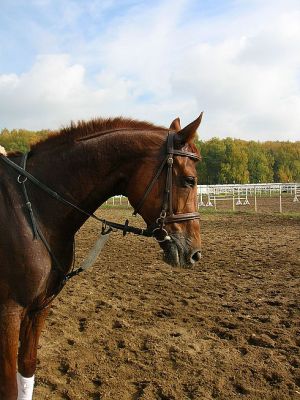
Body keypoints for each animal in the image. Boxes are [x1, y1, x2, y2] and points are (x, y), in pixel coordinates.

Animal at [0, 114, 203, 398]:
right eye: (189, 180)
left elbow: (27, 368)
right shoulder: (9, 312)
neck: (35, 207)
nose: (194, 253)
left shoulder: (39, 308)